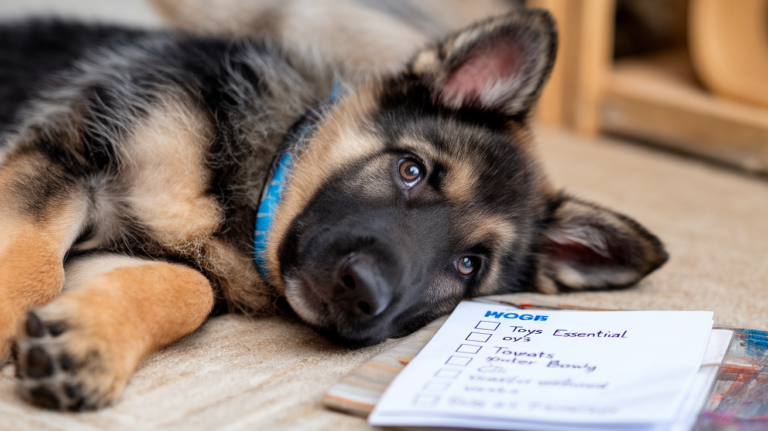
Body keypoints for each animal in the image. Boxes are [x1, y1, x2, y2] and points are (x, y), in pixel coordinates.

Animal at [0, 9, 668, 411]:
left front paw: (92, 341)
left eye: (469, 265)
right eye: (411, 171)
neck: (260, 174)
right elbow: (35, 263)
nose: (362, 292)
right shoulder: (61, 156)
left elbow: (191, 288)